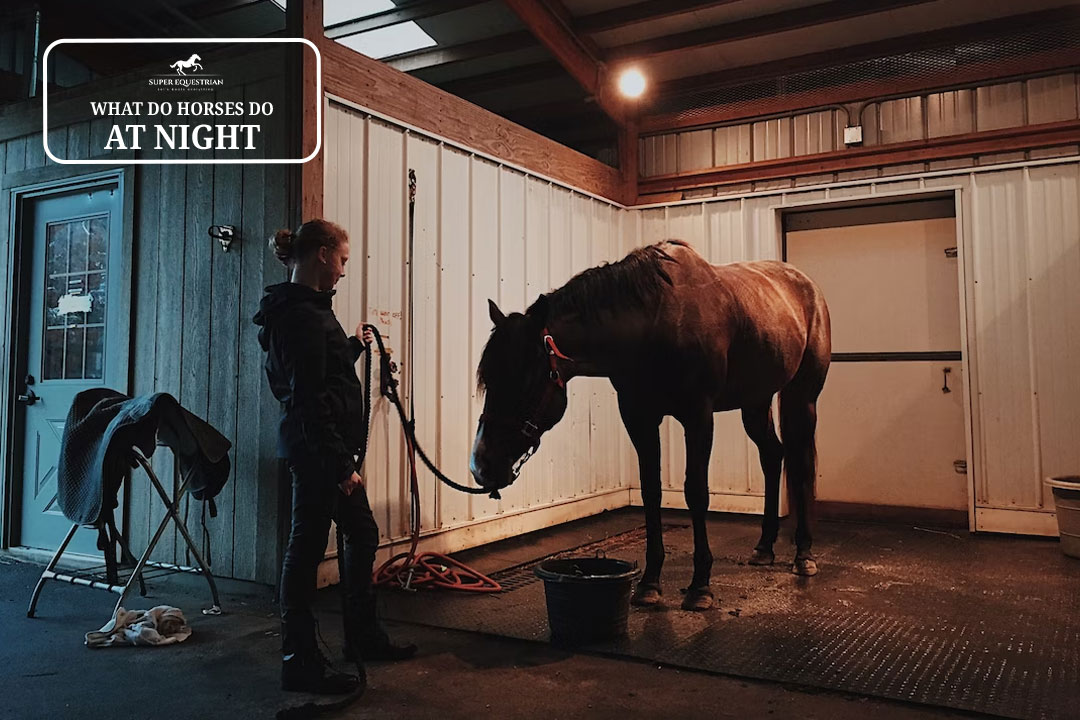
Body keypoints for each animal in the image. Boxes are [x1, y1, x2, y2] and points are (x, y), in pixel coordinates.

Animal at [470, 239, 831, 611]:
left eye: (526, 380)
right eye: (488, 379)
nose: (481, 465)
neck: (654, 323)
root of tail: (807, 287)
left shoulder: (698, 416)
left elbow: (696, 492)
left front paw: (700, 586)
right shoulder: (638, 417)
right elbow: (650, 490)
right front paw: (649, 584)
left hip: (802, 398)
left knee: (801, 465)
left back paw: (804, 555)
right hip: (755, 402)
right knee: (772, 457)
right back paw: (764, 547)